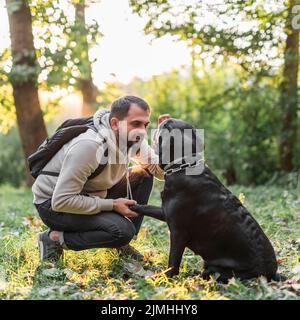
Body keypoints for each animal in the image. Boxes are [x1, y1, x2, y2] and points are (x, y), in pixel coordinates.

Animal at [132, 119, 278, 282]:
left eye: (167, 125)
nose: (161, 120)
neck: (185, 166)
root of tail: (272, 274)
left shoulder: (178, 232)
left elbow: (173, 263)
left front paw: (163, 277)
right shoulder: (165, 212)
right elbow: (146, 207)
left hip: (218, 270)